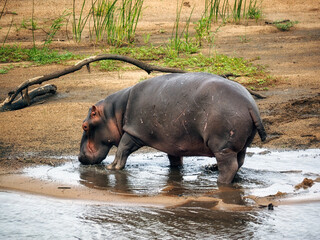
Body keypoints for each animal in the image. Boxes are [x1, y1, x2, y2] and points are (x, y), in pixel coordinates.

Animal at [79, 72, 266, 183]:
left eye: (85, 126)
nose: (79, 157)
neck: (114, 112)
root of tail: (250, 105)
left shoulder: (133, 131)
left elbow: (122, 148)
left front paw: (112, 168)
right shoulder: (173, 142)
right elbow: (174, 158)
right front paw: (174, 170)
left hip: (223, 146)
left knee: (229, 166)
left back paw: (219, 181)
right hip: (240, 144)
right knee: (240, 161)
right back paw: (214, 170)